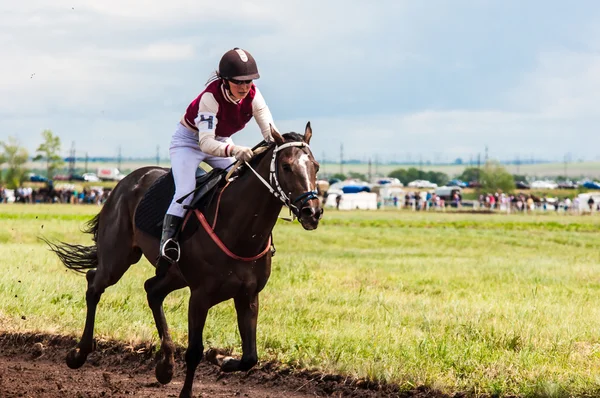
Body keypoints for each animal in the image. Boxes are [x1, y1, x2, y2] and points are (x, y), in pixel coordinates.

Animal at [44, 123, 324, 398]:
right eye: (286, 166)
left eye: (316, 166)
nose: (313, 211)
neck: (240, 231)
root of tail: (125, 182)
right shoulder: (200, 295)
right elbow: (194, 351)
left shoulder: (248, 295)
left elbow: (250, 357)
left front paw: (220, 358)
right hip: (118, 258)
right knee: (95, 283)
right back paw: (79, 354)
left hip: (173, 273)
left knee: (152, 290)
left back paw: (165, 366)